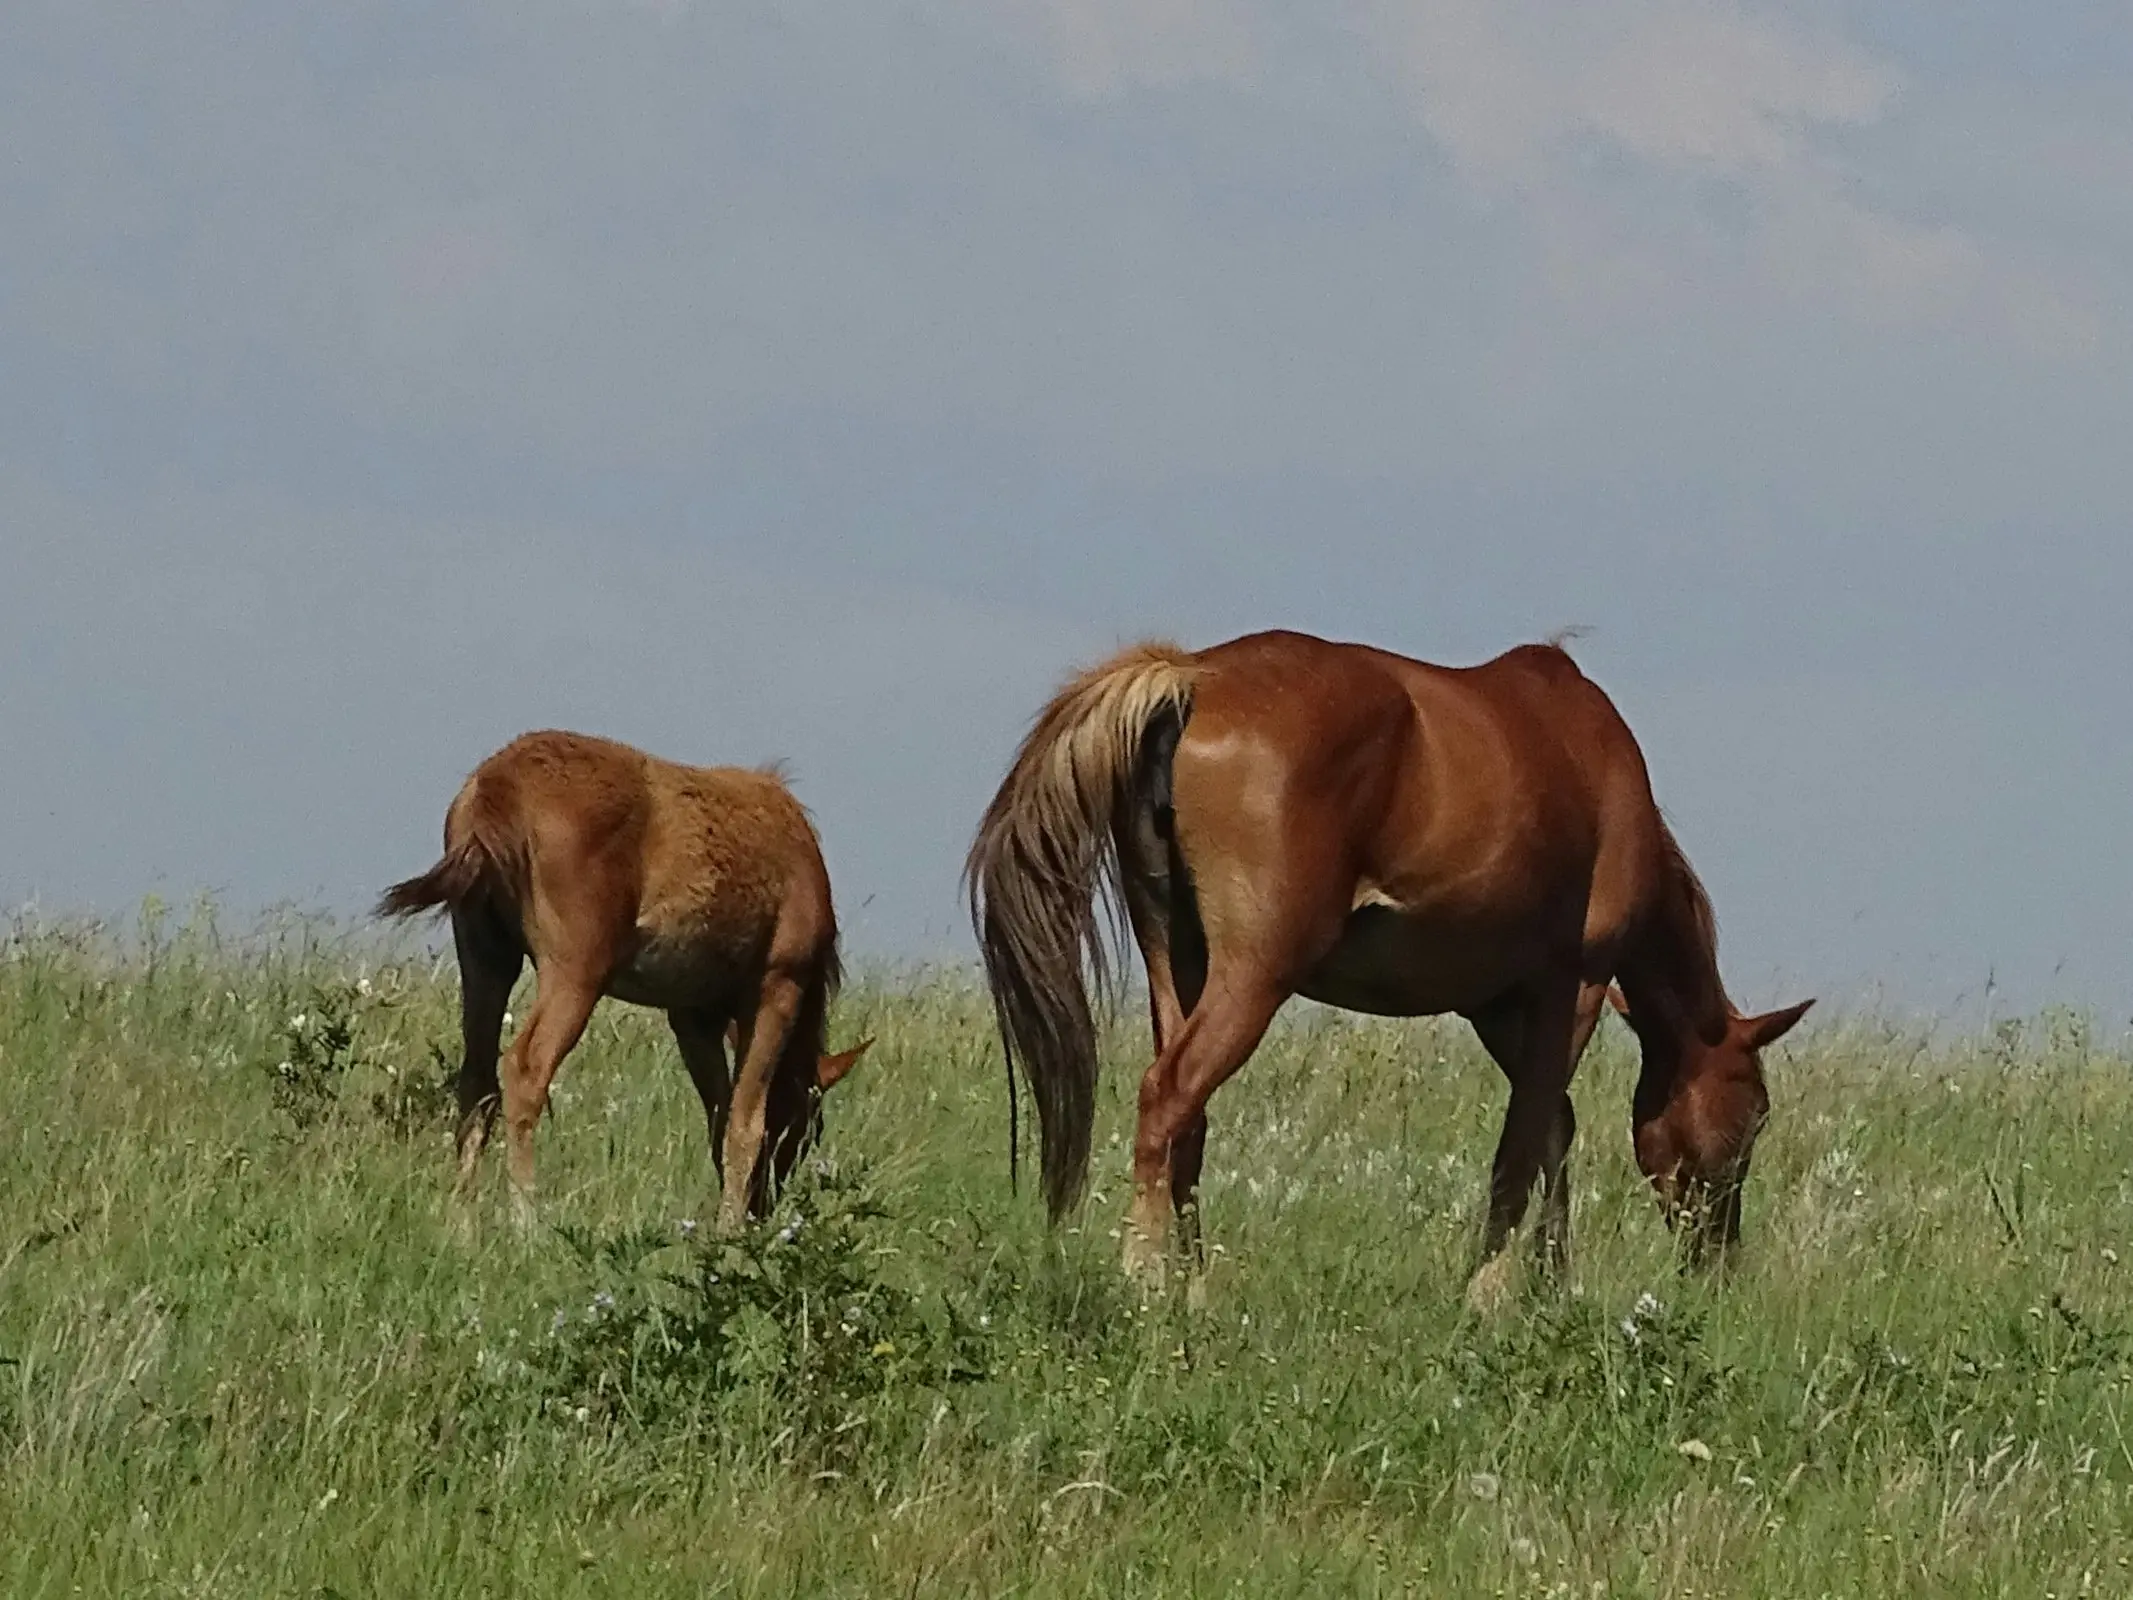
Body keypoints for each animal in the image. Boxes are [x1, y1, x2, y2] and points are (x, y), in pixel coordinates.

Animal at [377, 733, 865, 1237]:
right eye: (811, 1125)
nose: (763, 1204)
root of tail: (492, 796)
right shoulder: (778, 984)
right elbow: (745, 1120)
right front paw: (729, 1230)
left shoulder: (691, 1012)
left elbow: (719, 1114)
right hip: (574, 968)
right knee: (525, 1068)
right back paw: (526, 1222)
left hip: (484, 951)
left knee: (477, 1081)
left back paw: (462, 1225)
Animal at [972, 627, 1817, 1305]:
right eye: (1753, 1111)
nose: (1718, 1259)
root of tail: (1191, 678)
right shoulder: (1569, 985)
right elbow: (1527, 1138)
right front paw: (1491, 1296)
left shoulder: (1494, 1005)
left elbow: (1551, 1129)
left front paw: (1546, 1283)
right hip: (1250, 977)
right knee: (1167, 1095)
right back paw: (1145, 1280)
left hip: (1175, 962)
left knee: (1188, 1121)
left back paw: (1196, 1290)